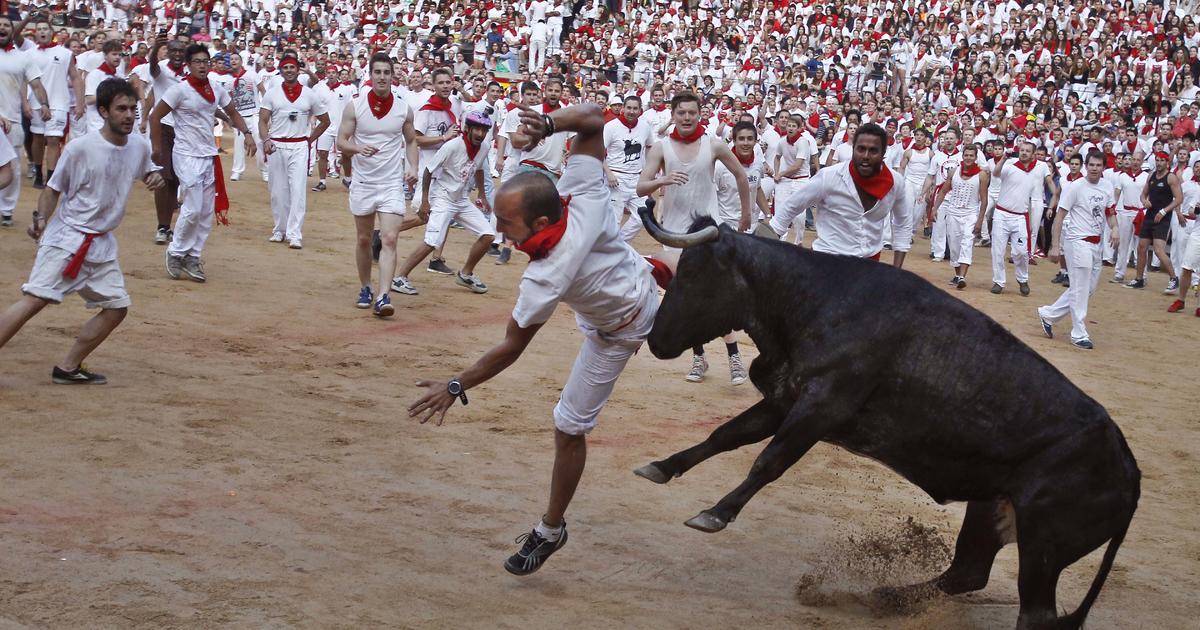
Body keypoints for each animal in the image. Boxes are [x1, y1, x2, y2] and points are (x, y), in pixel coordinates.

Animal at [633, 211, 1137, 628]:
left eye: (694, 274)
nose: (655, 341)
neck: (814, 299)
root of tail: (1131, 474)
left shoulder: (820, 408)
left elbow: (768, 461)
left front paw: (715, 513)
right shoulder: (784, 400)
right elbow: (726, 435)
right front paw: (661, 467)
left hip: (1042, 547)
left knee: (1034, 615)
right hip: (992, 509)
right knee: (967, 572)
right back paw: (885, 596)